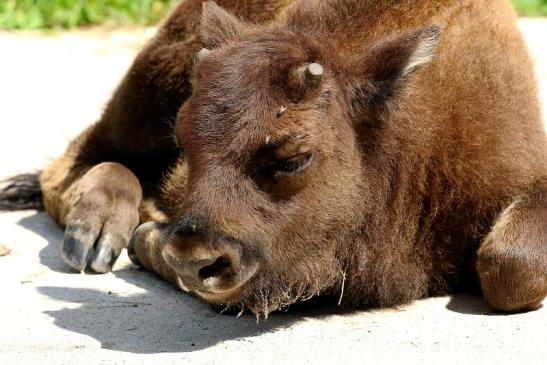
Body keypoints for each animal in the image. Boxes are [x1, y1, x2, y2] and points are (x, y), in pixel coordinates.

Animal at [2, 0, 544, 316]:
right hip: (147, 85)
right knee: (72, 165)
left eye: (294, 157)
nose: (192, 259)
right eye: (185, 143)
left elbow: (510, 266)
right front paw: (146, 240)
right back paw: (95, 233)